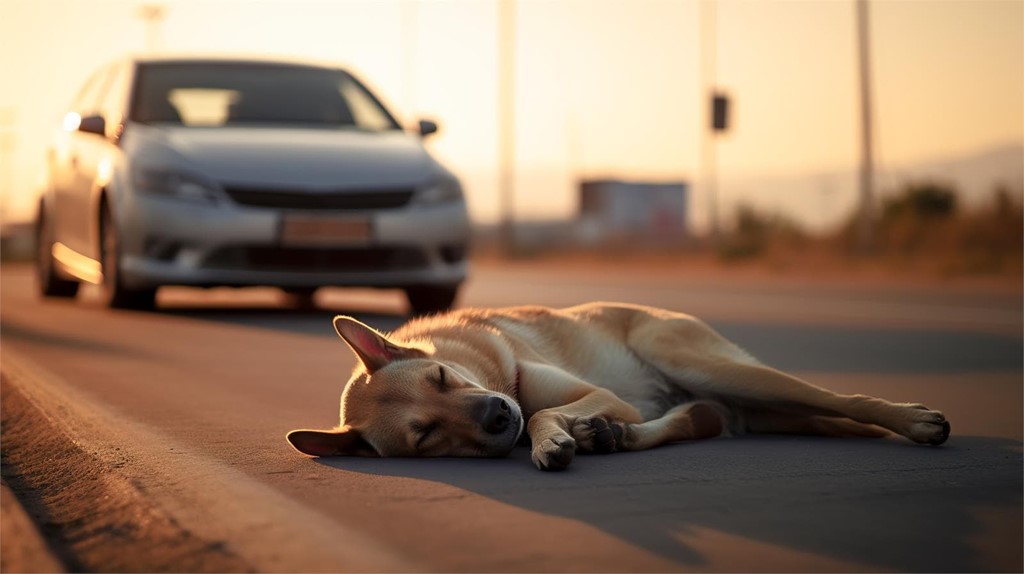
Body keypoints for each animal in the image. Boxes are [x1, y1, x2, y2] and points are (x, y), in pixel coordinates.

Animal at [284, 302, 946, 468]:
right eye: (424, 436)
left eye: (442, 377)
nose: (498, 417)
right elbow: (546, 418)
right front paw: (561, 437)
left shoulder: (585, 394)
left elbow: (544, 414)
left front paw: (551, 435)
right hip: (738, 401)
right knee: (696, 420)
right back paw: (617, 434)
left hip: (702, 363)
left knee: (838, 399)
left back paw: (915, 420)